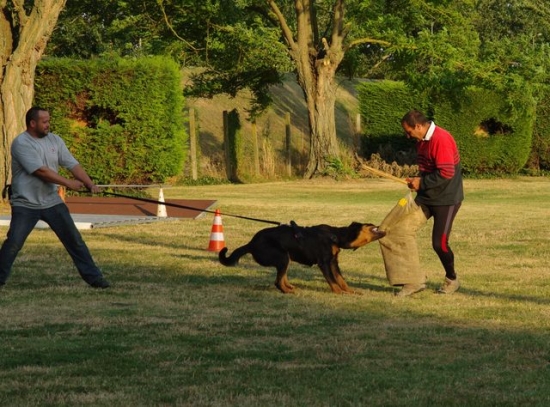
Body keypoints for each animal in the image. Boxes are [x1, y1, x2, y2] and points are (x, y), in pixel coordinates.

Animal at [218, 222, 386, 294]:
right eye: (369, 224)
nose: (377, 223)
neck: (335, 236)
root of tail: (251, 243)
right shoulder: (324, 263)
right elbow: (333, 281)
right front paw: (339, 292)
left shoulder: (333, 262)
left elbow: (341, 279)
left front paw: (351, 291)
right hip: (282, 257)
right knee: (277, 281)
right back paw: (287, 291)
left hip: (286, 258)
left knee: (282, 277)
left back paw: (290, 287)